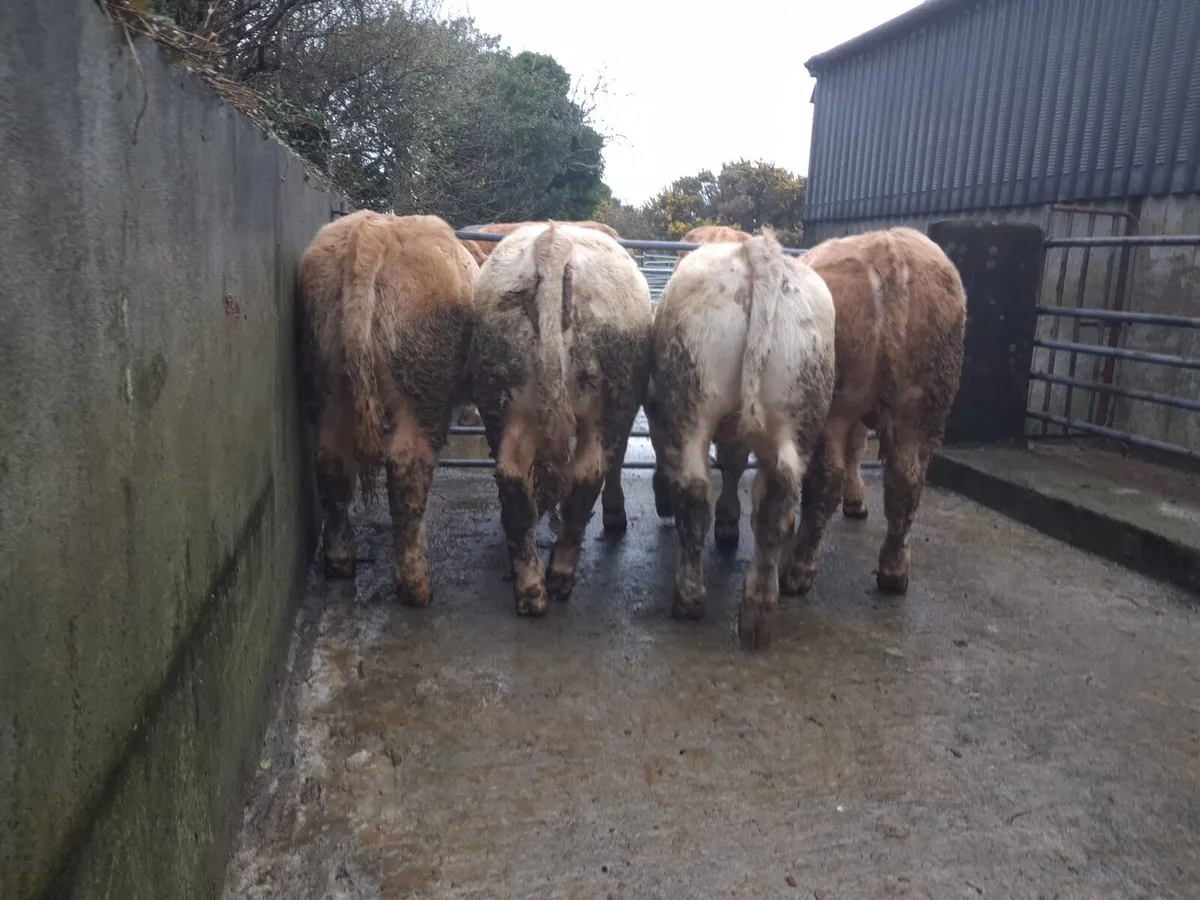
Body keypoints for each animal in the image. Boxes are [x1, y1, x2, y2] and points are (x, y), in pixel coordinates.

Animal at [298, 209, 478, 606]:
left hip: (329, 378)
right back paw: (416, 586)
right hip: (423, 391)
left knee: (332, 463)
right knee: (407, 469)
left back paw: (340, 561)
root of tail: (372, 233)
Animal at [470, 222, 653, 617]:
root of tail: (554, 243)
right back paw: (559, 577)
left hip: (504, 400)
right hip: (608, 404)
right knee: (587, 476)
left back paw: (530, 588)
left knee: (513, 478)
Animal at [645, 228, 836, 650]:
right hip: (798, 415)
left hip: (691, 406)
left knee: (695, 493)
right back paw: (758, 612)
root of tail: (757, 253)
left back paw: (689, 598)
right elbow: (733, 462)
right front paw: (729, 524)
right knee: (776, 506)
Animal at [777, 227, 967, 597]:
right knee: (906, 480)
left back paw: (798, 568)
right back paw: (894, 570)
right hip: (923, 406)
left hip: (833, 405)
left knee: (826, 479)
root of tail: (889, 252)